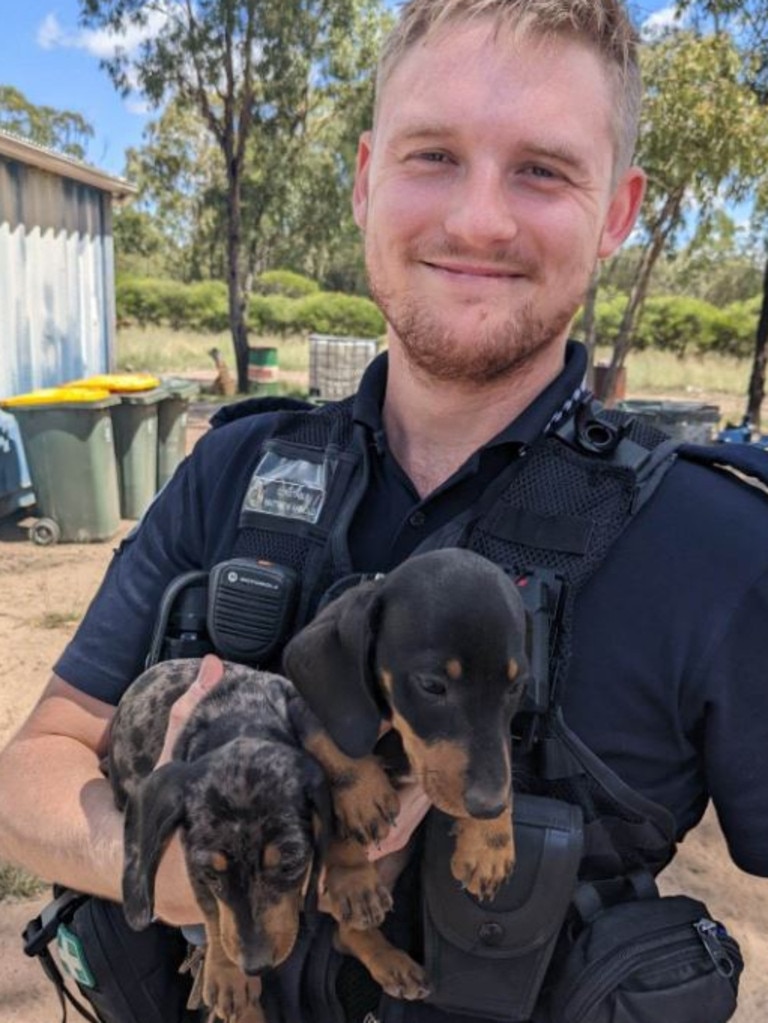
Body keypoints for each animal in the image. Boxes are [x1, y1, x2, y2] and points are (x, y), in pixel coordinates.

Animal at [108, 658, 333, 1023]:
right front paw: (228, 975)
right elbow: (212, 910)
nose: (255, 966)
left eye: (291, 865)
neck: (239, 715)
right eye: (211, 874)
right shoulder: (193, 864)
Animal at [282, 552, 527, 982]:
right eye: (431, 685)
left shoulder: (499, 746)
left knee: (345, 935)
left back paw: (390, 963)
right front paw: (363, 804)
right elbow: (336, 747)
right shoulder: (305, 714)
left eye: (516, 687)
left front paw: (490, 843)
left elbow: (503, 760)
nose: (488, 807)